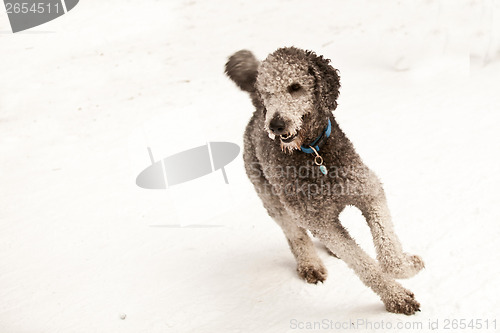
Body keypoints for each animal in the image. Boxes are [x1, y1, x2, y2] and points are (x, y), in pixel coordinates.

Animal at [225, 46, 424, 314]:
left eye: (295, 87)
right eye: (268, 91)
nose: (276, 125)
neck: (313, 152)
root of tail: (258, 109)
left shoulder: (369, 191)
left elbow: (388, 248)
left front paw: (407, 265)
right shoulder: (319, 220)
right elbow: (364, 265)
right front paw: (397, 297)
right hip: (274, 201)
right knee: (296, 235)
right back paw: (310, 265)